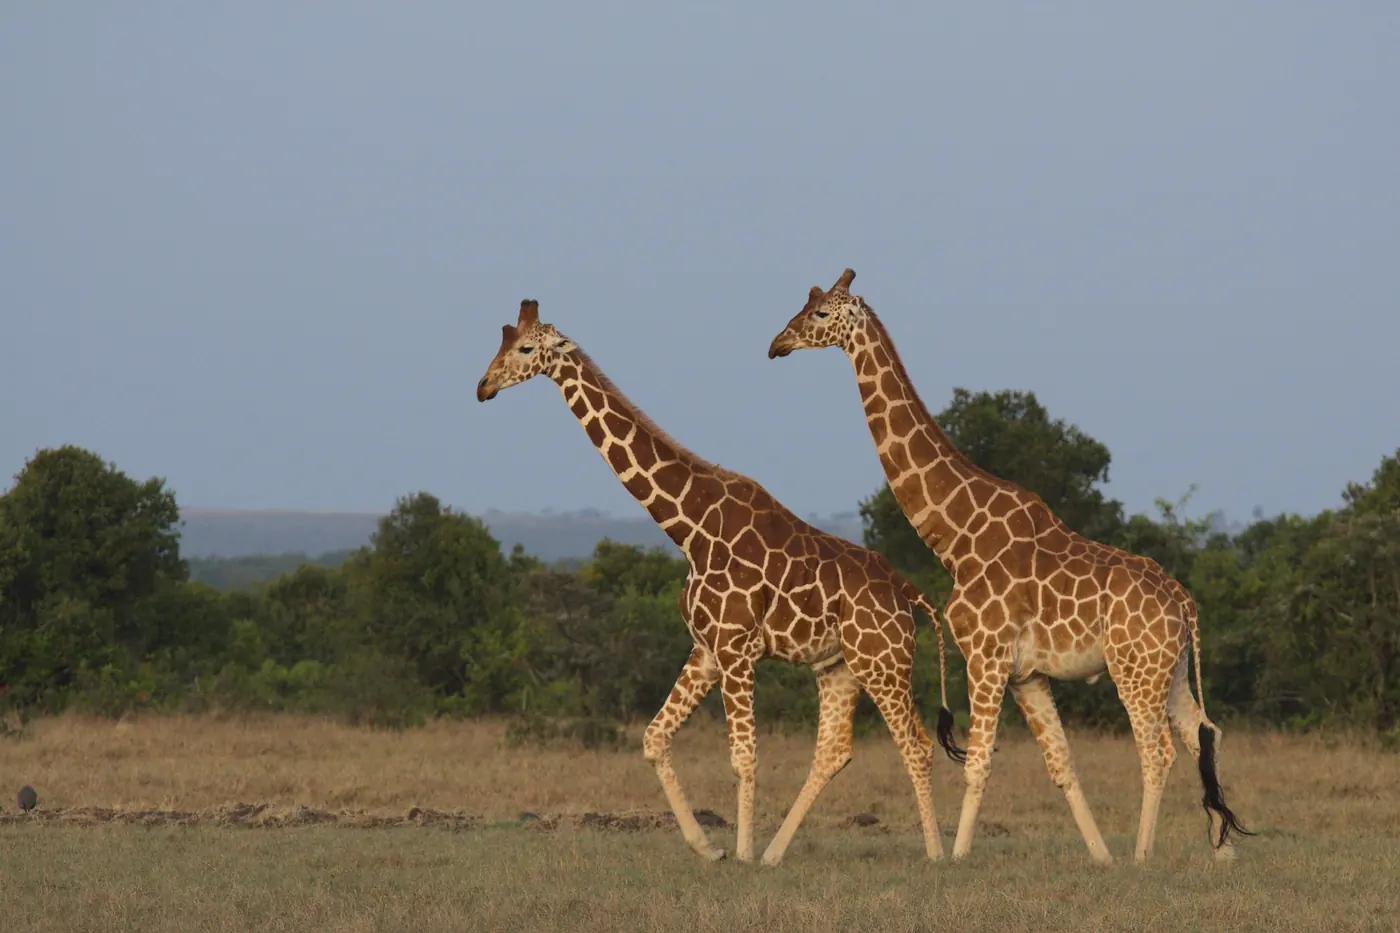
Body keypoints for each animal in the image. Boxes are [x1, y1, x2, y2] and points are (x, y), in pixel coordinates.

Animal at [476, 298, 965, 866]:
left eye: (525, 348)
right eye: (502, 340)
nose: (483, 386)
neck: (688, 528)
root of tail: (909, 593)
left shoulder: (735, 649)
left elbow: (744, 756)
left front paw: (743, 853)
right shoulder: (706, 648)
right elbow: (654, 738)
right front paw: (709, 849)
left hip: (883, 661)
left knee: (915, 743)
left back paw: (934, 853)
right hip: (838, 666)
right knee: (835, 750)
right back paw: (777, 853)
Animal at [767, 269, 1252, 864]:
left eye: (818, 314)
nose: (777, 344)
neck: (957, 537)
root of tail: (1183, 601)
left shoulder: (986, 653)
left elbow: (978, 762)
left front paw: (956, 858)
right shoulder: (1027, 674)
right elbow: (1061, 765)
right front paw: (1100, 857)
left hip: (1134, 669)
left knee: (1159, 750)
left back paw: (1144, 856)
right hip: (1173, 668)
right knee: (1204, 732)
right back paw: (1221, 852)